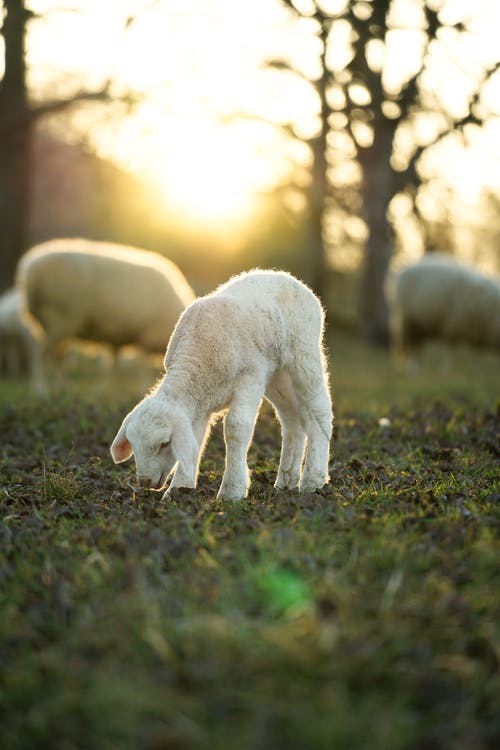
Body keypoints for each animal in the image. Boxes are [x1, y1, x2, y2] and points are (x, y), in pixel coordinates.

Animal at [16, 238, 195, 388]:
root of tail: (30, 271)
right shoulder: (146, 337)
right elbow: (140, 367)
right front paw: (141, 387)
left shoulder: (118, 339)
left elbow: (109, 367)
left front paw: (102, 390)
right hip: (60, 319)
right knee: (40, 354)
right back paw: (40, 390)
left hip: (55, 324)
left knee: (56, 358)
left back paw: (63, 388)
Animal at [111, 268, 334, 502]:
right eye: (133, 443)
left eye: (164, 443)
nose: (144, 482)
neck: (197, 364)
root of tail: (285, 276)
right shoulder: (199, 404)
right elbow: (197, 440)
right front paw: (179, 489)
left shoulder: (250, 377)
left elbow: (236, 427)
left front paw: (231, 491)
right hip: (277, 375)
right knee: (292, 419)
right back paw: (286, 481)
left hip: (304, 356)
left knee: (318, 411)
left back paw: (313, 480)